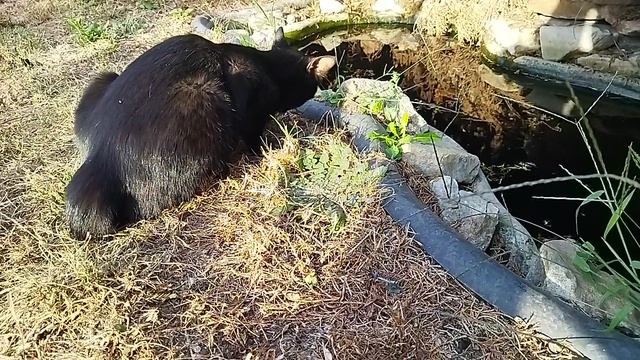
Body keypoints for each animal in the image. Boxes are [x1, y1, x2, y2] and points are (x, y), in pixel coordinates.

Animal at [65, 27, 338, 239]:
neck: (268, 67)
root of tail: (99, 158)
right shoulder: (250, 112)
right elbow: (254, 136)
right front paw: (266, 149)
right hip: (205, 98)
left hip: (102, 78)